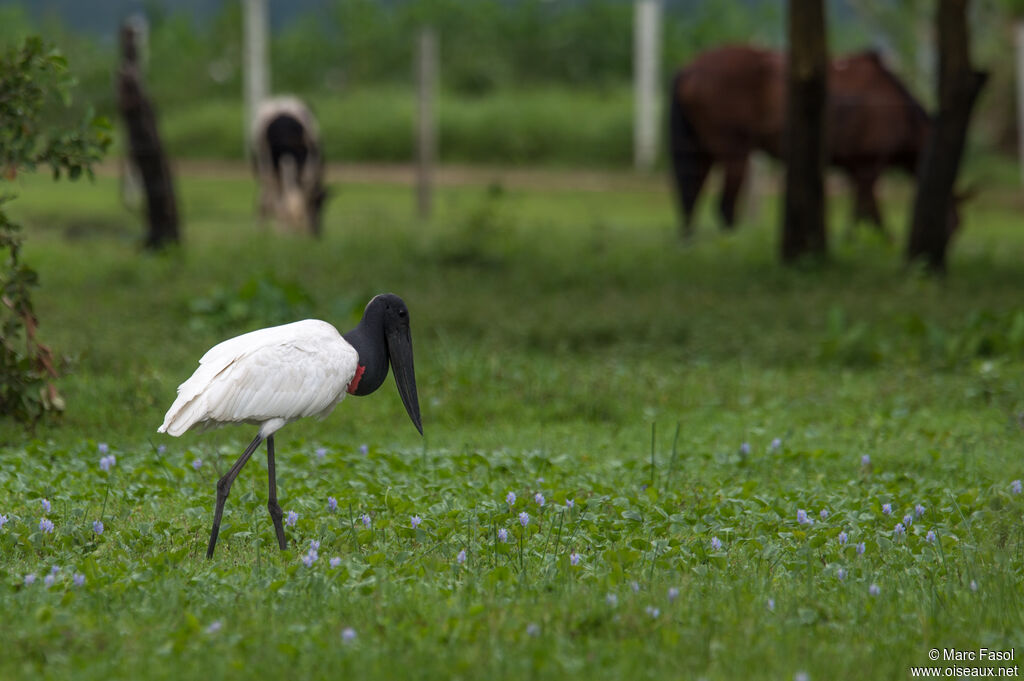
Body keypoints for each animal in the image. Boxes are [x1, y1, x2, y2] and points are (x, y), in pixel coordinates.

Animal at [667, 44, 946, 238]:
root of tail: (688, 68)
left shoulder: (856, 171)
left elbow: (864, 212)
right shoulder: (869, 166)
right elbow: (867, 213)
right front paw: (876, 241)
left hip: (701, 150)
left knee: (690, 195)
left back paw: (688, 241)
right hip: (733, 151)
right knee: (723, 205)